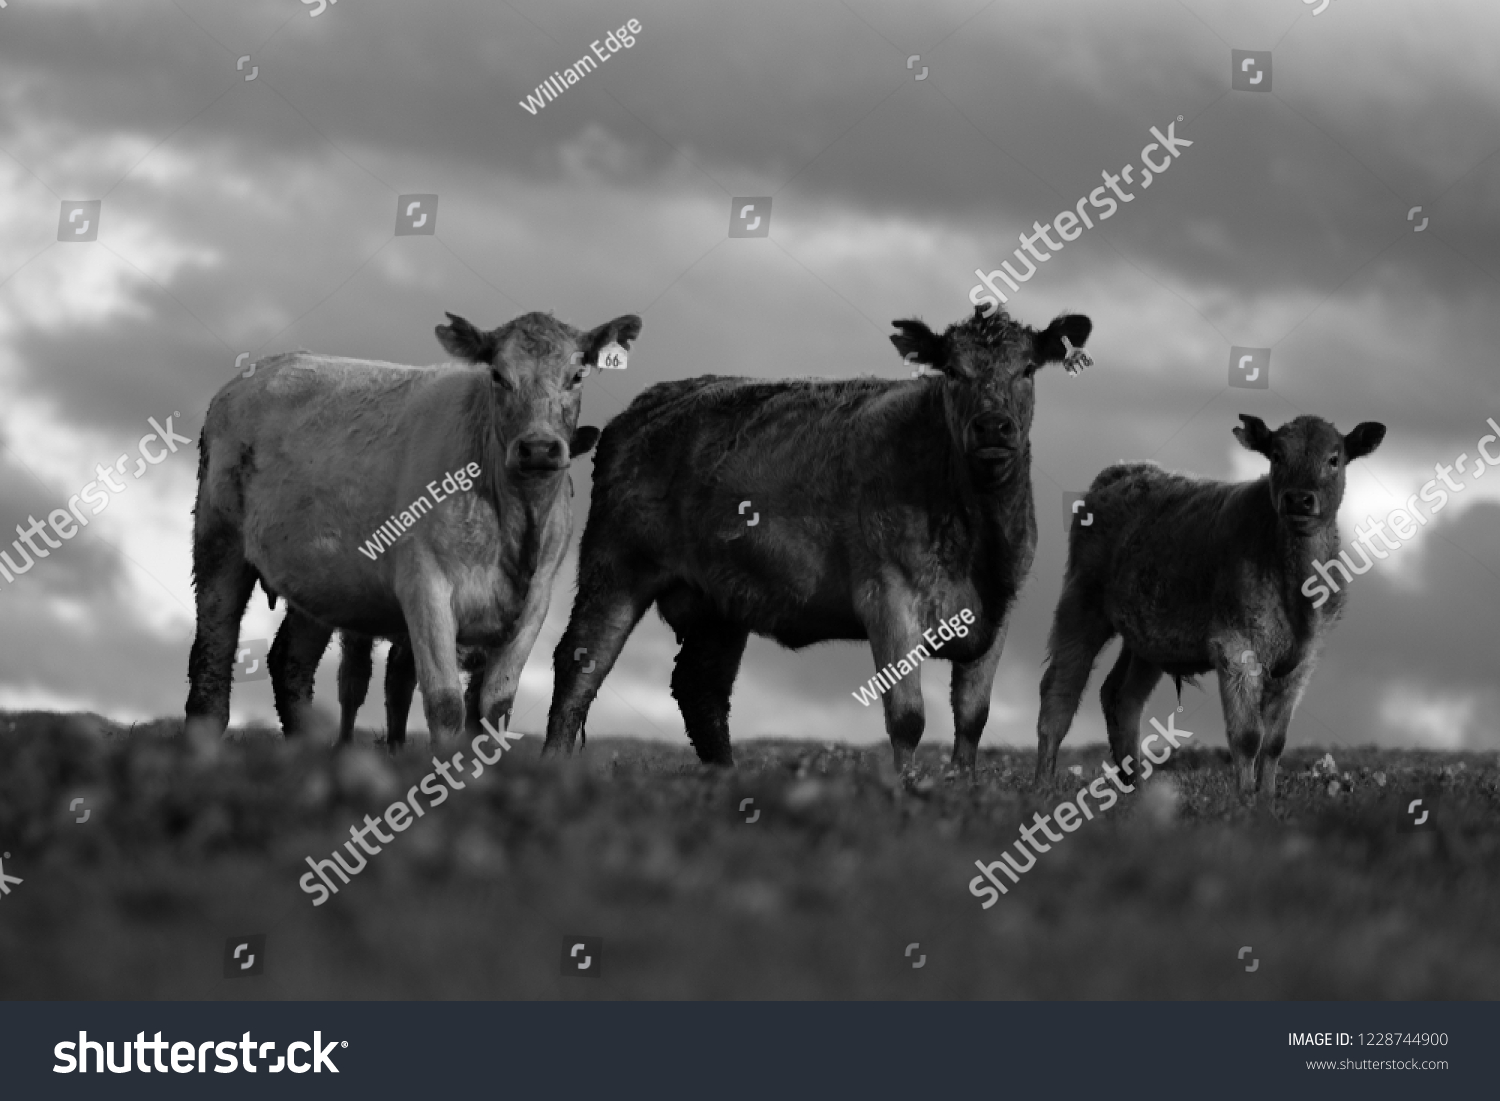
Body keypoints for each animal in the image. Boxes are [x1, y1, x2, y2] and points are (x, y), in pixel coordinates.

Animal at [183, 310, 639, 741]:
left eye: (577, 375)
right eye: (497, 375)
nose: (539, 448)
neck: (514, 522)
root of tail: (268, 366)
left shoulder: (534, 605)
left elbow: (494, 711)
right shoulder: (425, 586)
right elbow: (445, 704)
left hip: (319, 579)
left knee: (290, 662)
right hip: (217, 539)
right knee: (212, 651)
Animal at [537, 306, 1092, 774]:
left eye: (1027, 369)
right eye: (953, 371)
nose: (993, 426)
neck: (974, 532)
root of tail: (651, 401)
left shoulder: (998, 610)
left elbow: (973, 719)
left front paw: (959, 791)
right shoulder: (888, 597)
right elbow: (908, 717)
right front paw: (907, 793)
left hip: (720, 600)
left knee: (701, 689)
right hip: (615, 565)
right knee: (579, 665)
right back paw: (555, 767)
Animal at [1038, 414, 1386, 804]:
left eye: (1334, 459)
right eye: (1277, 455)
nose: (1298, 498)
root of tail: (1125, 469)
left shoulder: (1302, 661)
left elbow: (1275, 742)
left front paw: (1267, 800)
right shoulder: (1235, 646)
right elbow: (1248, 737)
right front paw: (1245, 801)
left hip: (1148, 639)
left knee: (1121, 698)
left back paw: (1136, 795)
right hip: (1081, 604)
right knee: (1060, 692)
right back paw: (1042, 786)